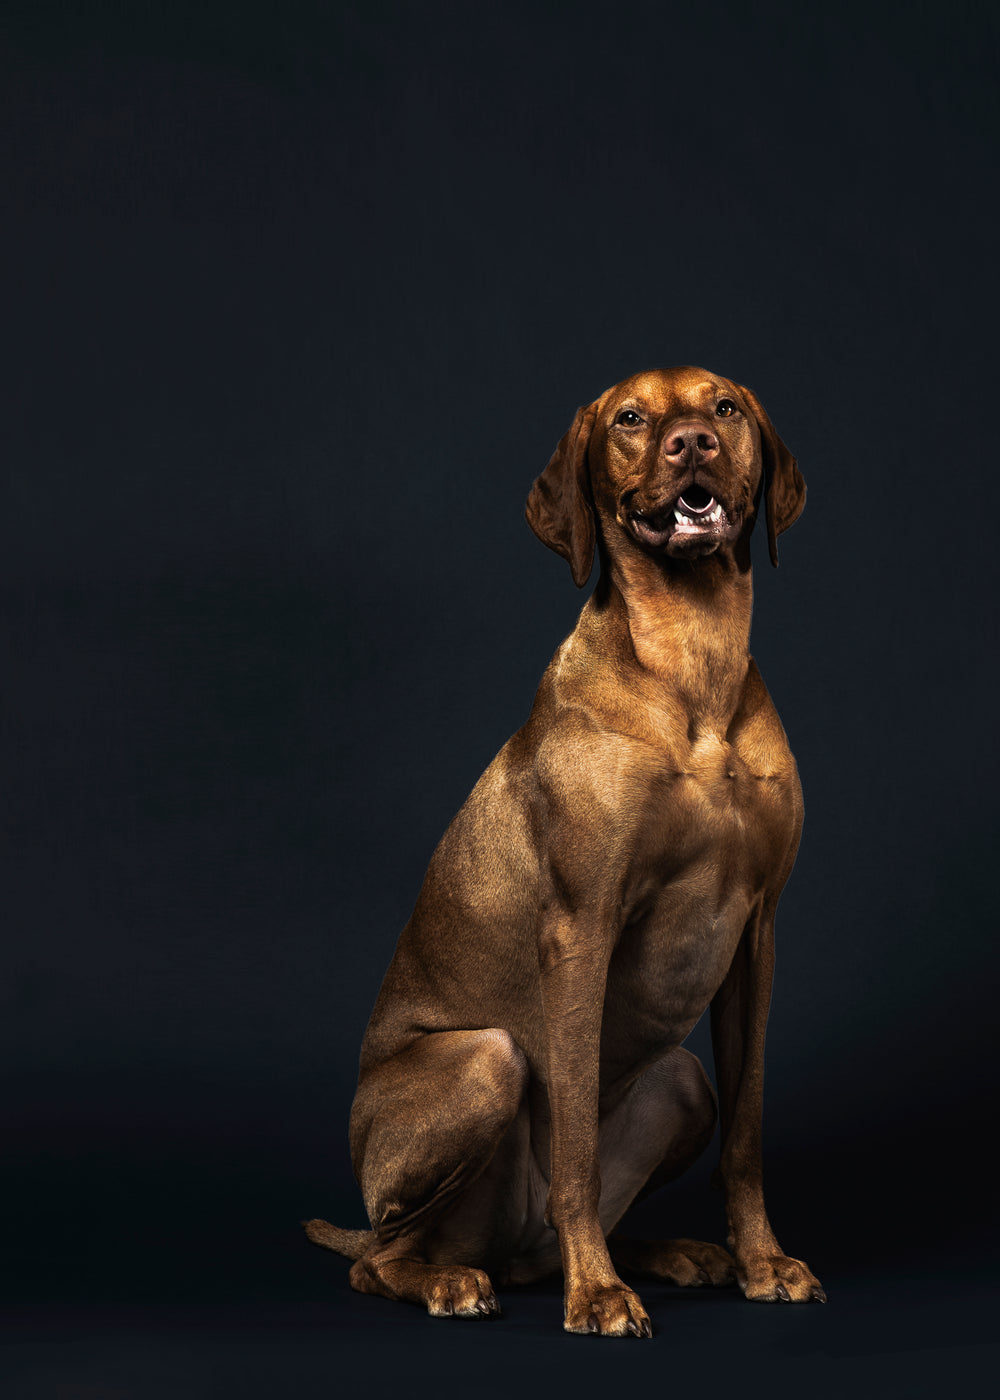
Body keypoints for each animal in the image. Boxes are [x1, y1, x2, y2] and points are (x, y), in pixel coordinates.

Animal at [308, 364, 823, 1332]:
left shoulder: (760, 934)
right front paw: (600, 1294)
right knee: (383, 1257)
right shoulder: (581, 930)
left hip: (680, 1079)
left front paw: (760, 1260)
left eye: (725, 407)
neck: (691, 660)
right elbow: (576, 1138)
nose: (692, 442)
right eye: (630, 419)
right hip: (481, 1063)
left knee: (538, 1243)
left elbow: (747, 1132)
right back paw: (452, 1279)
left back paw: (664, 1253)